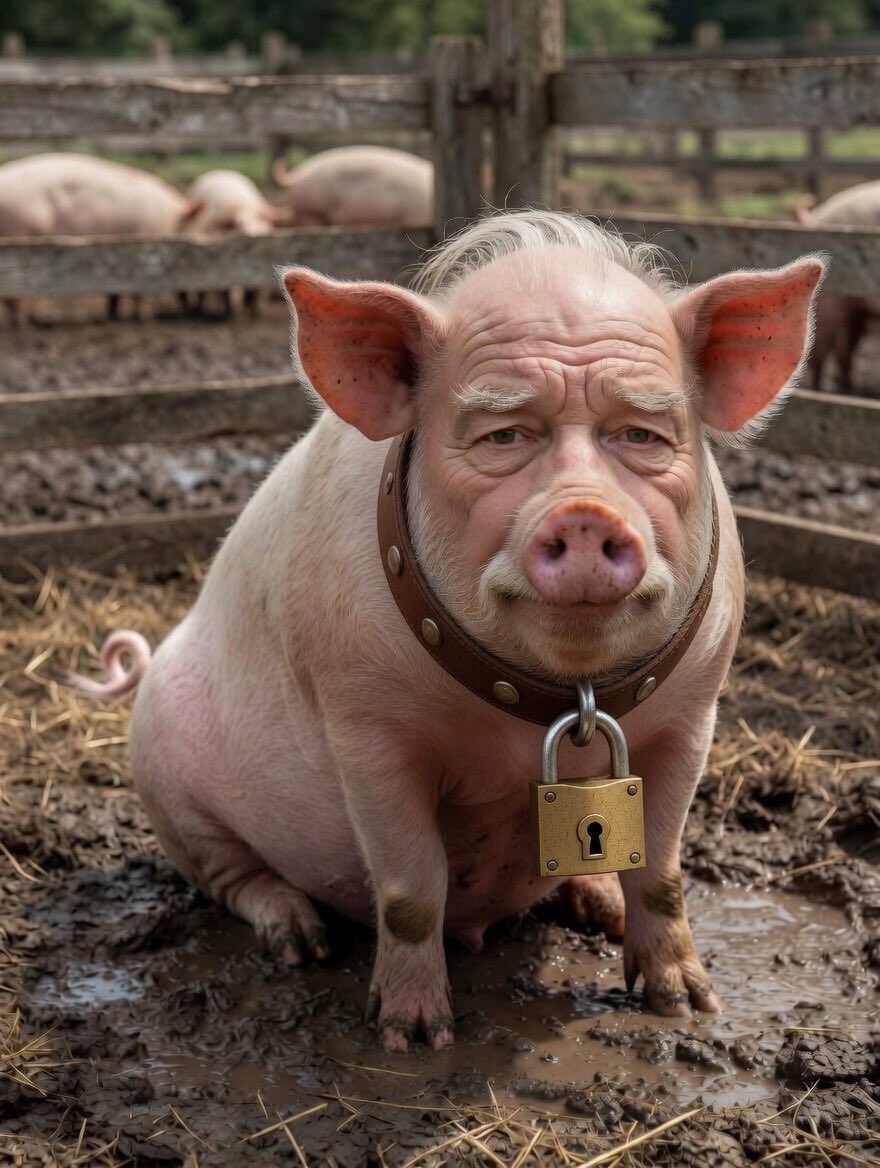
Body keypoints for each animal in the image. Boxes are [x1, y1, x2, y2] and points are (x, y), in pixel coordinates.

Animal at [0, 153, 203, 324]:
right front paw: (147, 321)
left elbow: (114, 290)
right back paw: (24, 324)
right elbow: (140, 291)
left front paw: (112, 316)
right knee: (14, 295)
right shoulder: (144, 249)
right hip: (18, 237)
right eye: (188, 243)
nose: (189, 307)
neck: (170, 220)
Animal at [72, 210, 824, 1052]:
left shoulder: (694, 715)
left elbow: (659, 868)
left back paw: (597, 907)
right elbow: (410, 886)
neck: (555, 698)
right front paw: (412, 1035)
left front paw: (690, 1006)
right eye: (503, 435)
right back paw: (301, 940)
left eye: (641, 434)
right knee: (234, 876)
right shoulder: (366, 725)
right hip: (165, 785)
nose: (584, 511)